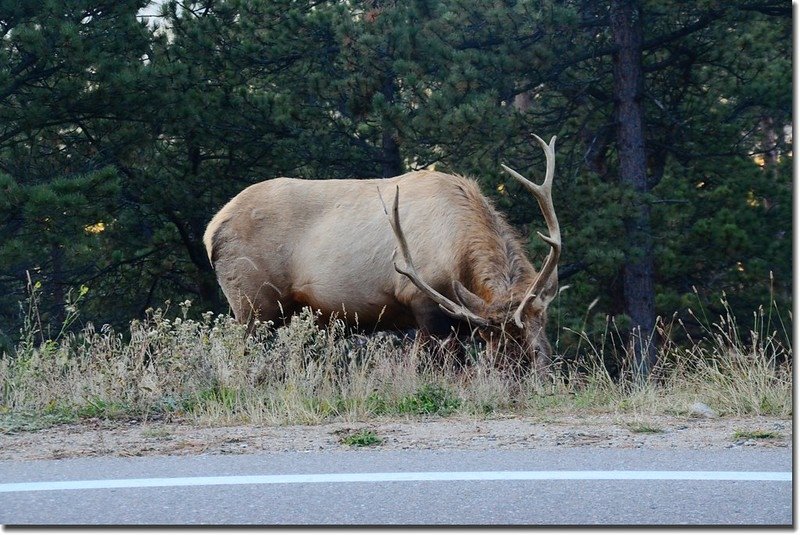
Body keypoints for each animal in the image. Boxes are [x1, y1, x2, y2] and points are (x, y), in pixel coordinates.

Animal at [203, 136, 560, 374]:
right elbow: (441, 367)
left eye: (538, 324)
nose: (518, 375)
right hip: (253, 304)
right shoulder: (422, 300)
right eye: (490, 336)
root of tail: (211, 231)